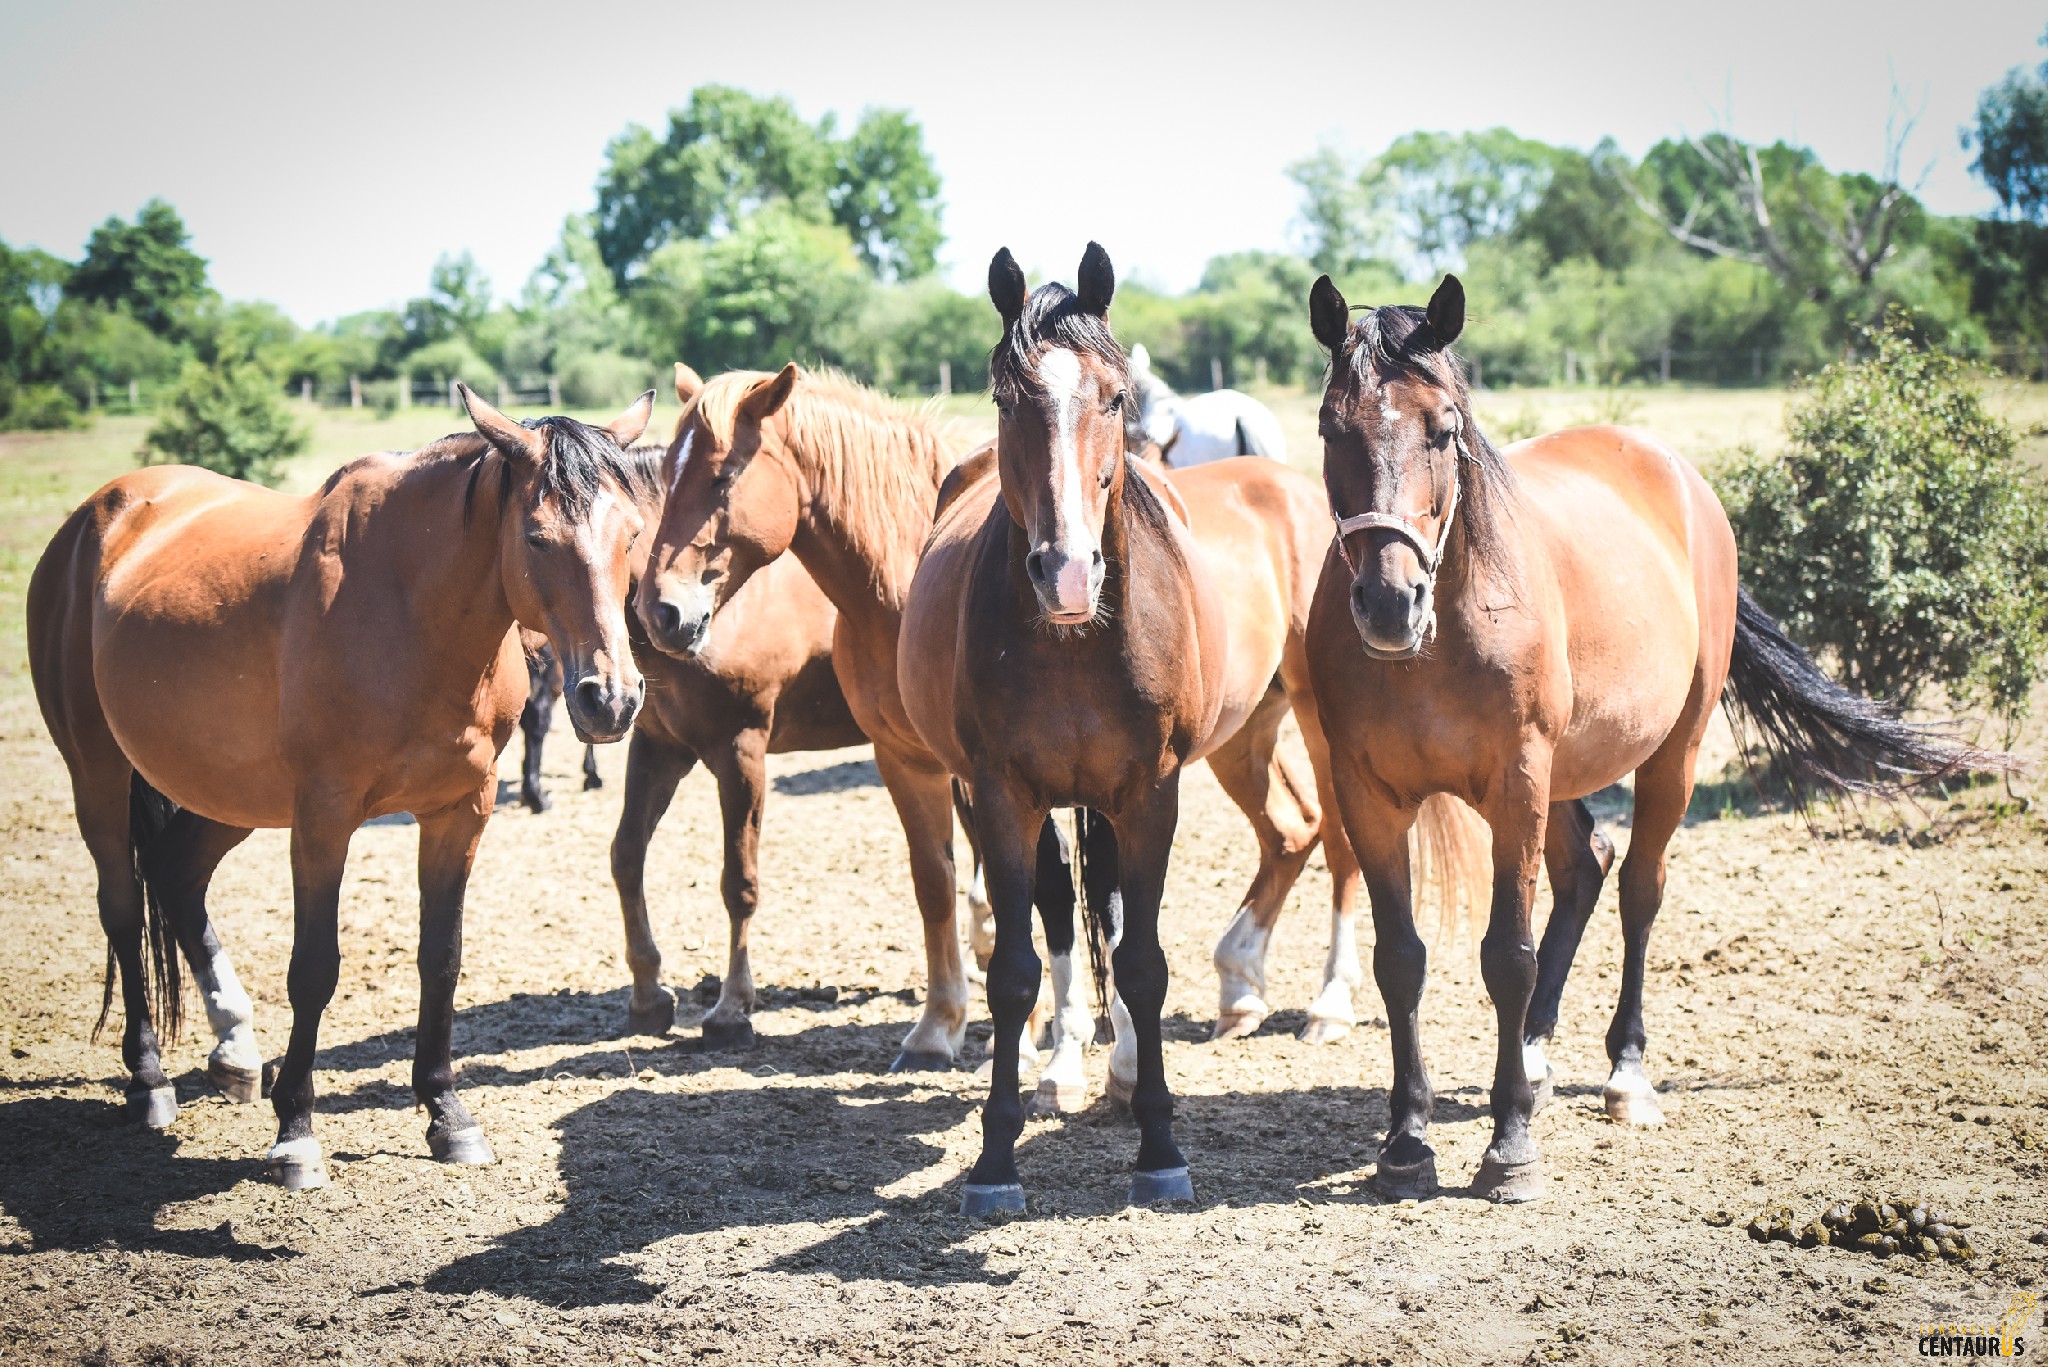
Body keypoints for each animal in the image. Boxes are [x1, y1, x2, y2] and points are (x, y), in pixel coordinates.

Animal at [29, 385, 655, 1188]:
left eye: (633, 532)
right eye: (539, 538)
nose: (611, 699)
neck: (410, 613)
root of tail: (95, 515)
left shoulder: (460, 810)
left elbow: (441, 957)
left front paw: (446, 1113)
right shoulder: (323, 818)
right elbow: (314, 969)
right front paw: (296, 1131)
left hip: (227, 793)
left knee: (175, 876)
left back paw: (234, 1048)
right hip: (98, 773)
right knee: (121, 908)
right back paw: (148, 1081)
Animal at [1310, 272, 1998, 1205]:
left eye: (1443, 428)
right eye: (1329, 428)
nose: (1390, 602)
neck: (1445, 628)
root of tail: (1676, 475)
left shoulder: (1516, 782)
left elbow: (1508, 957)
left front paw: (1510, 1147)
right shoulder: (1372, 795)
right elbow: (1402, 962)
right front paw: (1407, 1141)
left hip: (1672, 752)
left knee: (1638, 887)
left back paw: (1624, 1074)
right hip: (1565, 776)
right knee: (1586, 871)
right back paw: (1535, 1055)